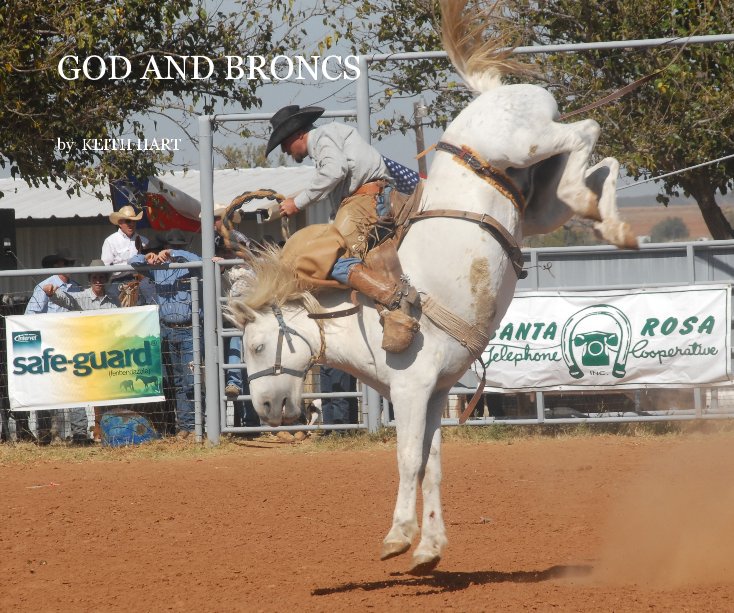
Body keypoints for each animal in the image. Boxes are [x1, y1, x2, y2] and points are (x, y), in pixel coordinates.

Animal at [230, 0, 640, 572]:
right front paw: (429, 548)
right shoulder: (437, 392)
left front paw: (399, 536)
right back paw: (608, 220)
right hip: (541, 194)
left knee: (586, 127)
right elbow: (433, 464)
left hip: (523, 142)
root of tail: (489, 93)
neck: (357, 317)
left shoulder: (411, 388)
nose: (265, 410)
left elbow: (407, 460)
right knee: (596, 167)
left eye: (255, 344)